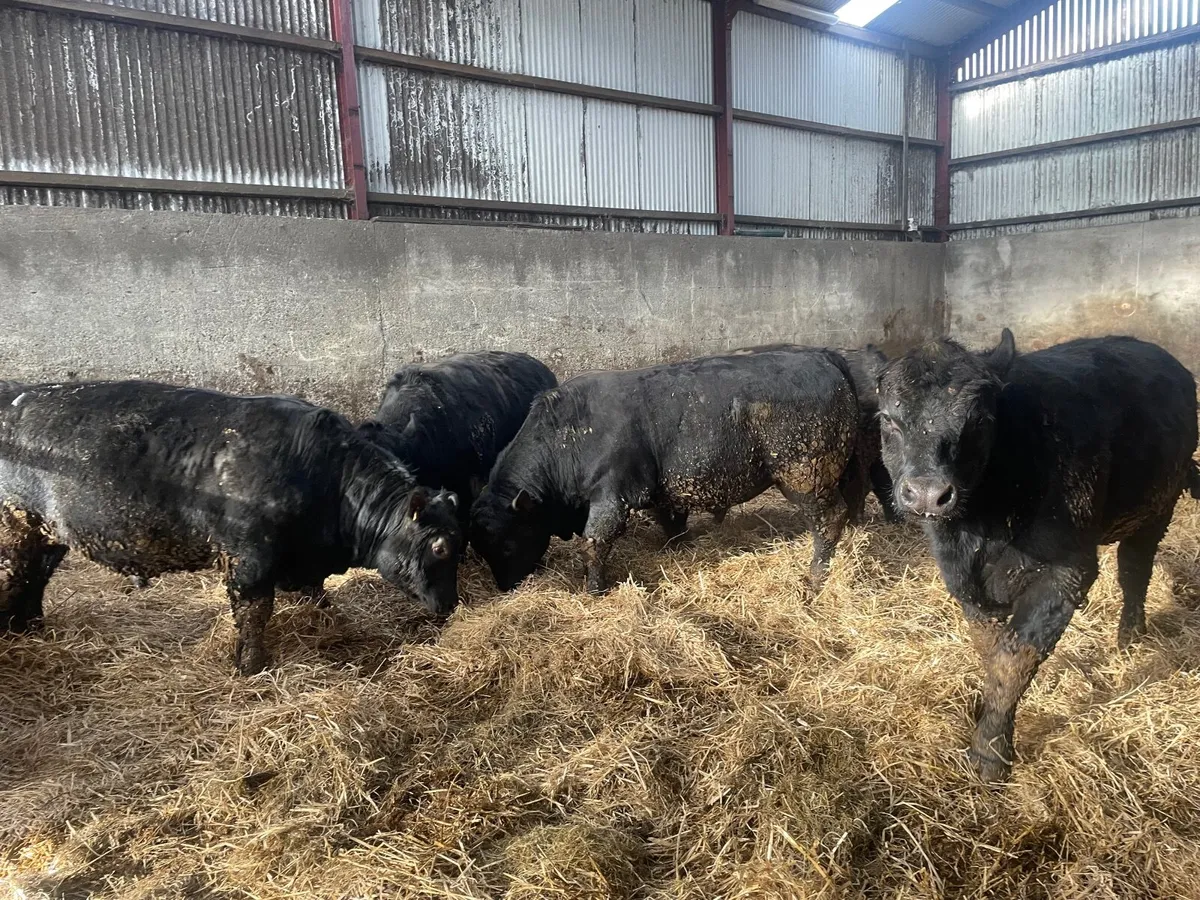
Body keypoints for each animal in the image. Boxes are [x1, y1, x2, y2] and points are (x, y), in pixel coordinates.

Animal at [0, 381, 463, 674]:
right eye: (440, 547)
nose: (451, 605)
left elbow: (317, 596)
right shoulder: (249, 559)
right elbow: (254, 613)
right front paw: (251, 666)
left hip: (46, 534)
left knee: (34, 580)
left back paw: (31, 628)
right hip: (15, 532)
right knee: (16, 579)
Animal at [470, 348, 860, 594]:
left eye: (508, 542)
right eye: (481, 549)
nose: (506, 588)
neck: (572, 431)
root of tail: (822, 357)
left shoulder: (613, 498)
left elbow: (594, 543)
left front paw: (594, 588)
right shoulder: (664, 493)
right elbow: (672, 523)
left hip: (805, 477)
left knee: (830, 520)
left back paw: (815, 578)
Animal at [877, 330, 1200, 782]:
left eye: (980, 420)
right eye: (888, 419)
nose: (927, 494)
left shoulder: (1067, 571)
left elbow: (1014, 659)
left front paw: (990, 754)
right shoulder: (966, 583)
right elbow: (991, 651)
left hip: (1157, 506)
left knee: (1135, 570)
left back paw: (1129, 637)